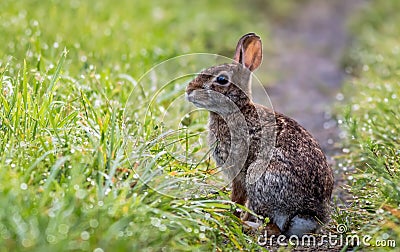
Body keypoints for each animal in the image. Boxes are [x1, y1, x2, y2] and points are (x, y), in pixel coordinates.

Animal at [186, 33, 332, 236]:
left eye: (221, 80)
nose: (189, 90)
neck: (237, 109)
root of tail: (309, 213)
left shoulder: (238, 171)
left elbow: (238, 197)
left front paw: (230, 217)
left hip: (259, 175)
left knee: (273, 226)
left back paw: (248, 225)